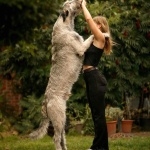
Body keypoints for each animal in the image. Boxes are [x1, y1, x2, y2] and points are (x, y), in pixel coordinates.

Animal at [28, 0, 93, 149]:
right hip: (58, 119)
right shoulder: (81, 48)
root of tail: (45, 102)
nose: (80, 1)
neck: (65, 25)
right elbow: (88, 39)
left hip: (62, 118)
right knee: (56, 138)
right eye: (70, 2)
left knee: (62, 137)